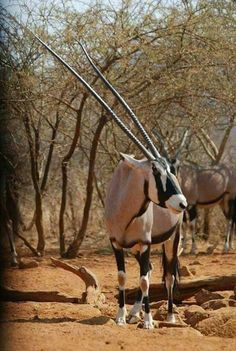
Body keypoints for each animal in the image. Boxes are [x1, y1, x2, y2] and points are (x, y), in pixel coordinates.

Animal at [30, 33, 187, 330]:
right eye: (156, 171)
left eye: (170, 170)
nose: (182, 203)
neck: (125, 206)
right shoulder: (117, 244)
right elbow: (124, 278)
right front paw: (122, 317)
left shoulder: (146, 244)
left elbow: (145, 280)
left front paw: (148, 322)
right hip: (137, 248)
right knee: (151, 272)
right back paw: (136, 312)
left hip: (171, 240)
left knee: (168, 275)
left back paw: (169, 315)